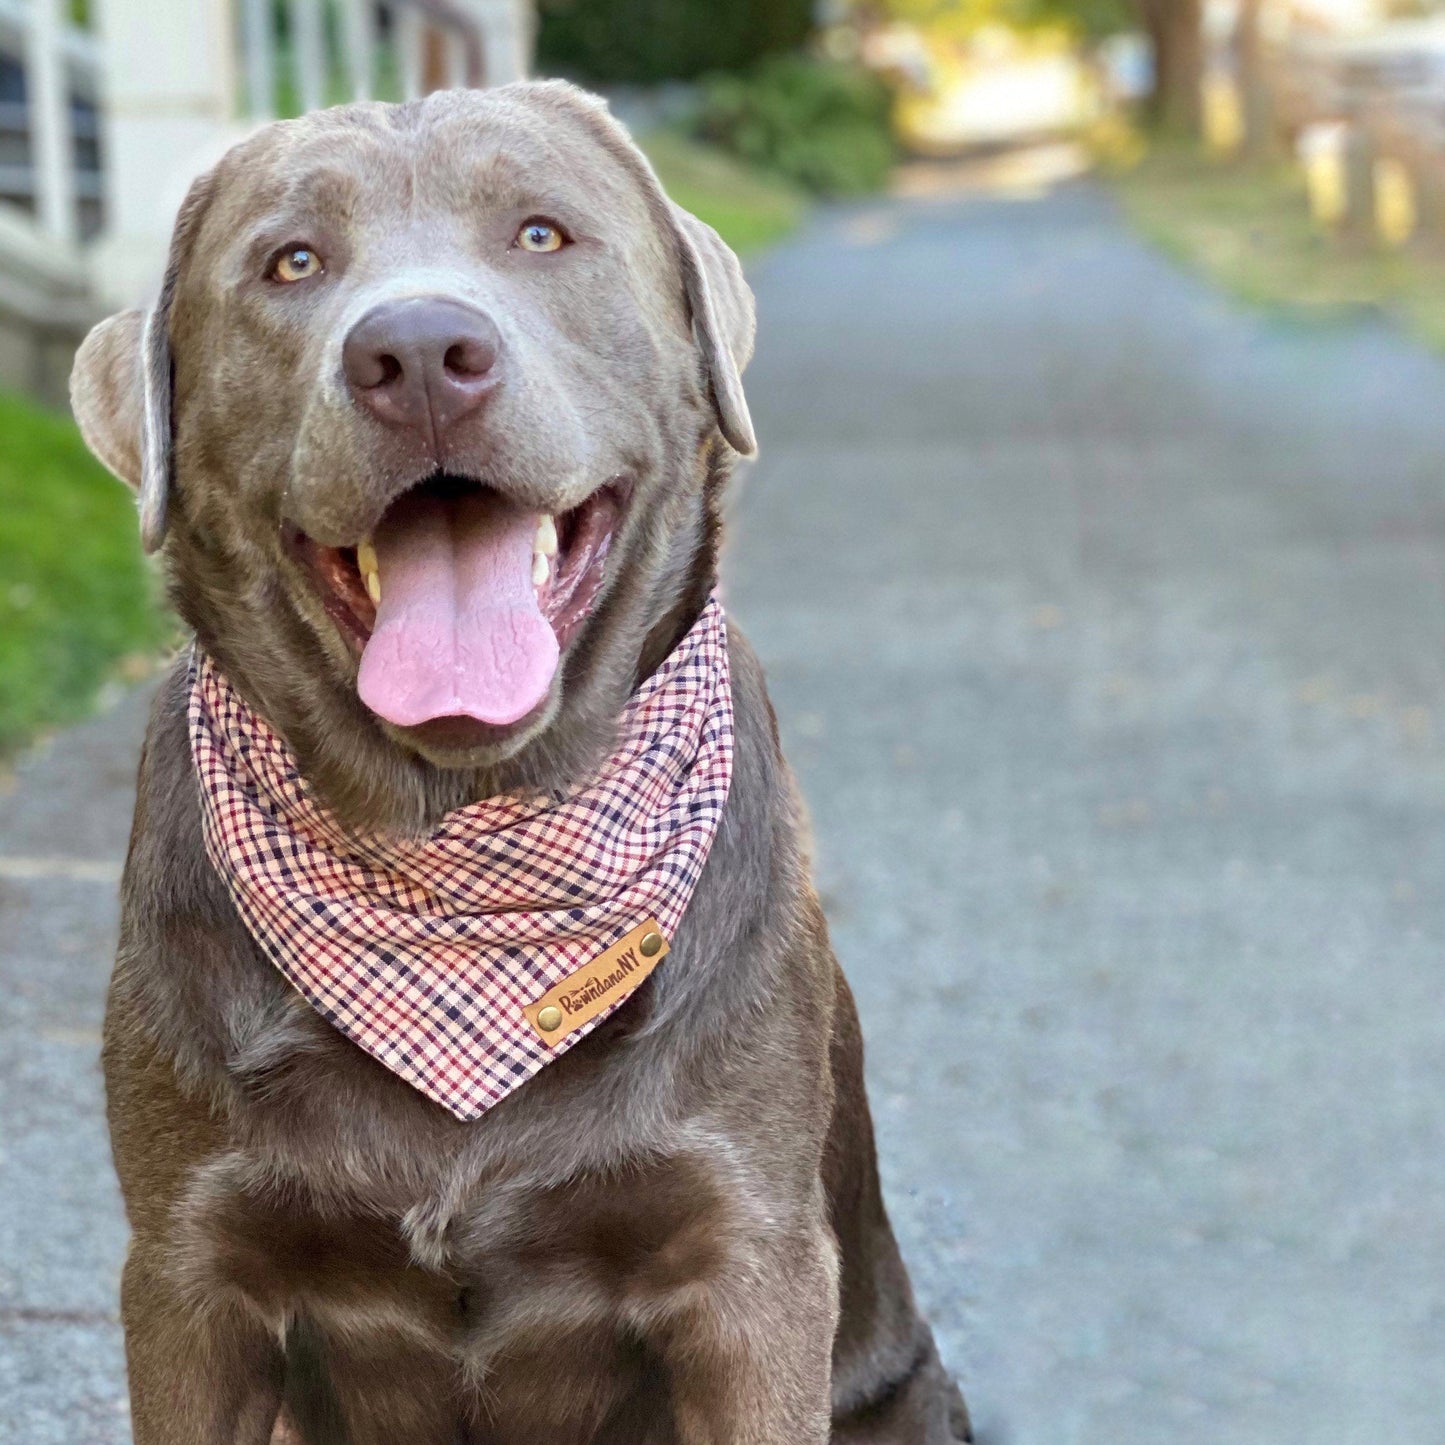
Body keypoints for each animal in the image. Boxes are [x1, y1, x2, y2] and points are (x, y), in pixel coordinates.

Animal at [67, 82, 971, 1445]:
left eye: (540, 234)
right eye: (292, 262)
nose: (417, 353)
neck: (464, 858)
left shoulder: (749, 1268)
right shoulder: (189, 1273)